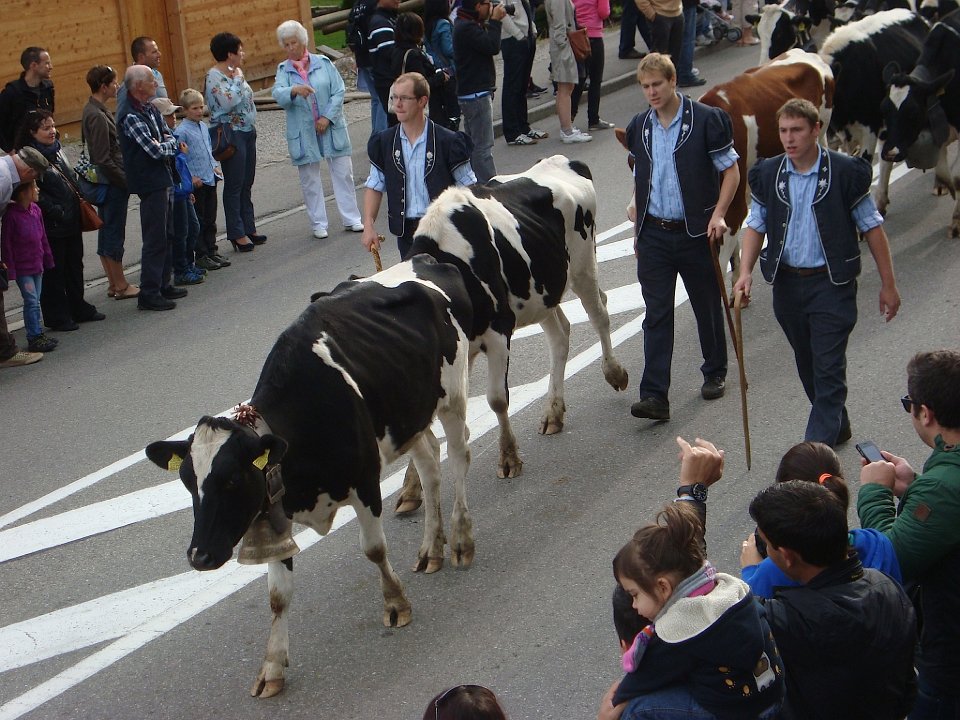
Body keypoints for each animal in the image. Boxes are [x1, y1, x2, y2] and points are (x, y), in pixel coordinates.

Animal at [145, 254, 475, 698]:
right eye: (186, 482)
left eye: (231, 480)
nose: (199, 556)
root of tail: (423, 260)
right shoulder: (274, 510)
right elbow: (277, 596)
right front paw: (272, 667)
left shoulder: (365, 482)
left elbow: (374, 550)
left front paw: (395, 604)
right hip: (407, 416)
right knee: (429, 464)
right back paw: (430, 549)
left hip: (452, 395)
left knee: (458, 458)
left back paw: (460, 540)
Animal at [393, 155, 629, 511]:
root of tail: (561, 160)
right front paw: (411, 486)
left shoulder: (497, 331)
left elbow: (496, 399)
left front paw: (508, 457)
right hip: (541, 294)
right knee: (561, 334)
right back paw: (553, 411)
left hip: (582, 264)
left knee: (599, 313)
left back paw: (614, 372)